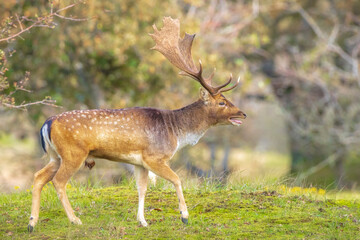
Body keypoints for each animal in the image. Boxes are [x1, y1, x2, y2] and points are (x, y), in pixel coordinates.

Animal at [28, 16, 246, 232]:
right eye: (222, 102)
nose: (242, 114)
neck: (176, 132)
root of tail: (47, 122)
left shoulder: (139, 162)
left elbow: (142, 188)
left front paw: (142, 221)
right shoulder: (154, 157)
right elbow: (176, 179)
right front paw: (184, 216)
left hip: (56, 155)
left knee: (38, 176)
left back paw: (32, 222)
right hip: (73, 153)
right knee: (58, 181)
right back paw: (74, 220)